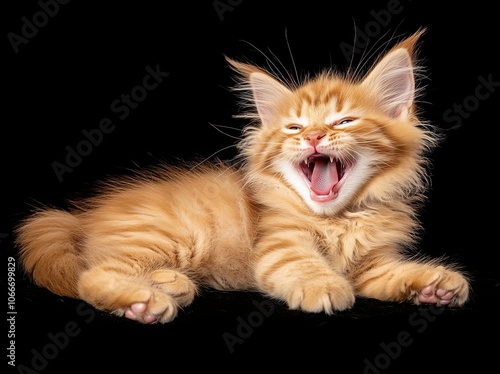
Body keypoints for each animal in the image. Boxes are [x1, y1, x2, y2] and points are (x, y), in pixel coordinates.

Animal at [15, 31, 468, 324]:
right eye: (294, 128)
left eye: (344, 120)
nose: (314, 136)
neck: (341, 219)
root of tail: (80, 217)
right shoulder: (279, 245)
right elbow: (305, 263)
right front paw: (326, 286)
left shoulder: (372, 266)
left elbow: (396, 274)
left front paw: (436, 284)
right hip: (167, 235)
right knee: (91, 275)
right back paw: (145, 301)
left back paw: (170, 283)